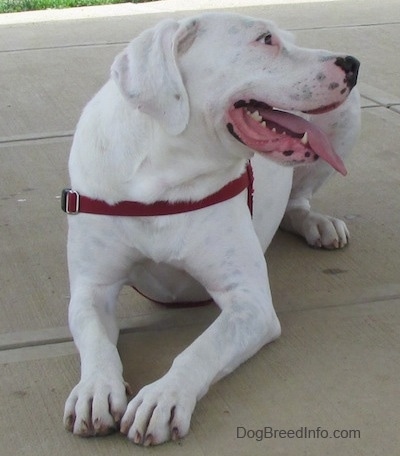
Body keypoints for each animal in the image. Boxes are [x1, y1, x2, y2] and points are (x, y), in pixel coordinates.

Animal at [61, 13, 360, 446]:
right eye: (266, 40)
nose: (352, 63)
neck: (164, 175)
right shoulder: (92, 288)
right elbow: (97, 340)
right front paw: (95, 389)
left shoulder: (249, 303)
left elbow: (201, 348)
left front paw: (164, 396)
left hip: (346, 117)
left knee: (298, 201)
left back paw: (316, 223)